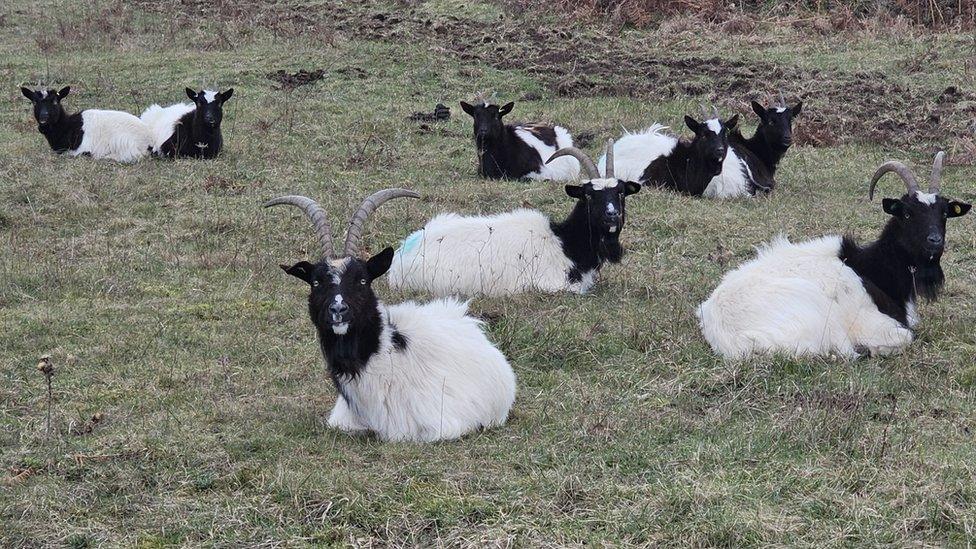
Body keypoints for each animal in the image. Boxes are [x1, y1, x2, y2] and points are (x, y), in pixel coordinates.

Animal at [696, 153, 972, 360]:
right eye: (907, 214)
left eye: (944, 213)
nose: (935, 241)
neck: (870, 268)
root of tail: (728, 336)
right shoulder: (871, 321)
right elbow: (906, 337)